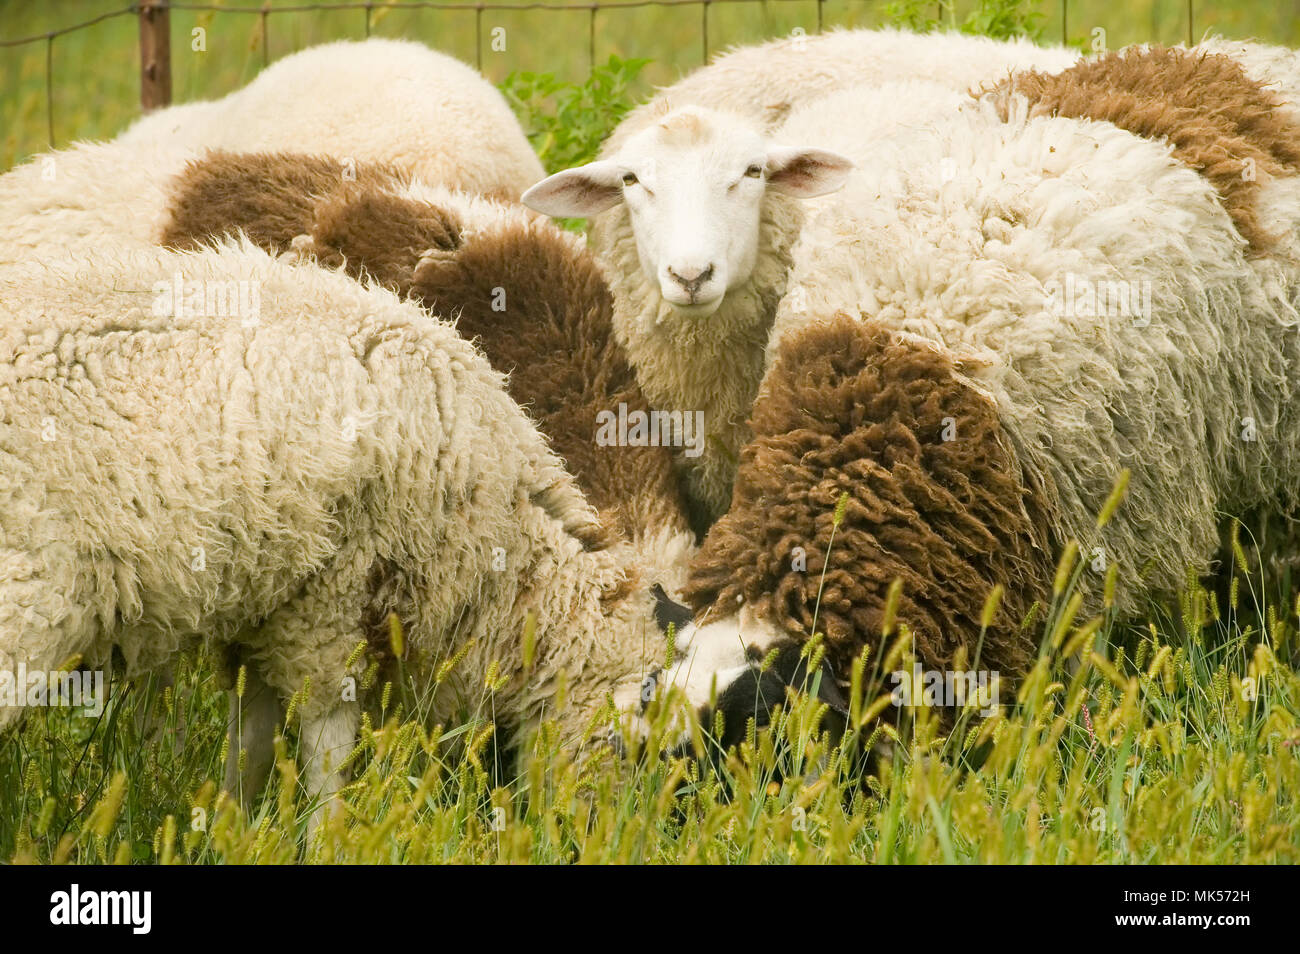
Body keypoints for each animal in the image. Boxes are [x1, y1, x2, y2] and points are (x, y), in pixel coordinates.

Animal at [0, 242, 684, 825]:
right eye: (640, 743)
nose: (603, 832)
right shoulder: (328, 604)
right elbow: (327, 747)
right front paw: (325, 834)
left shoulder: (263, 609)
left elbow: (250, 745)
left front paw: (228, 831)